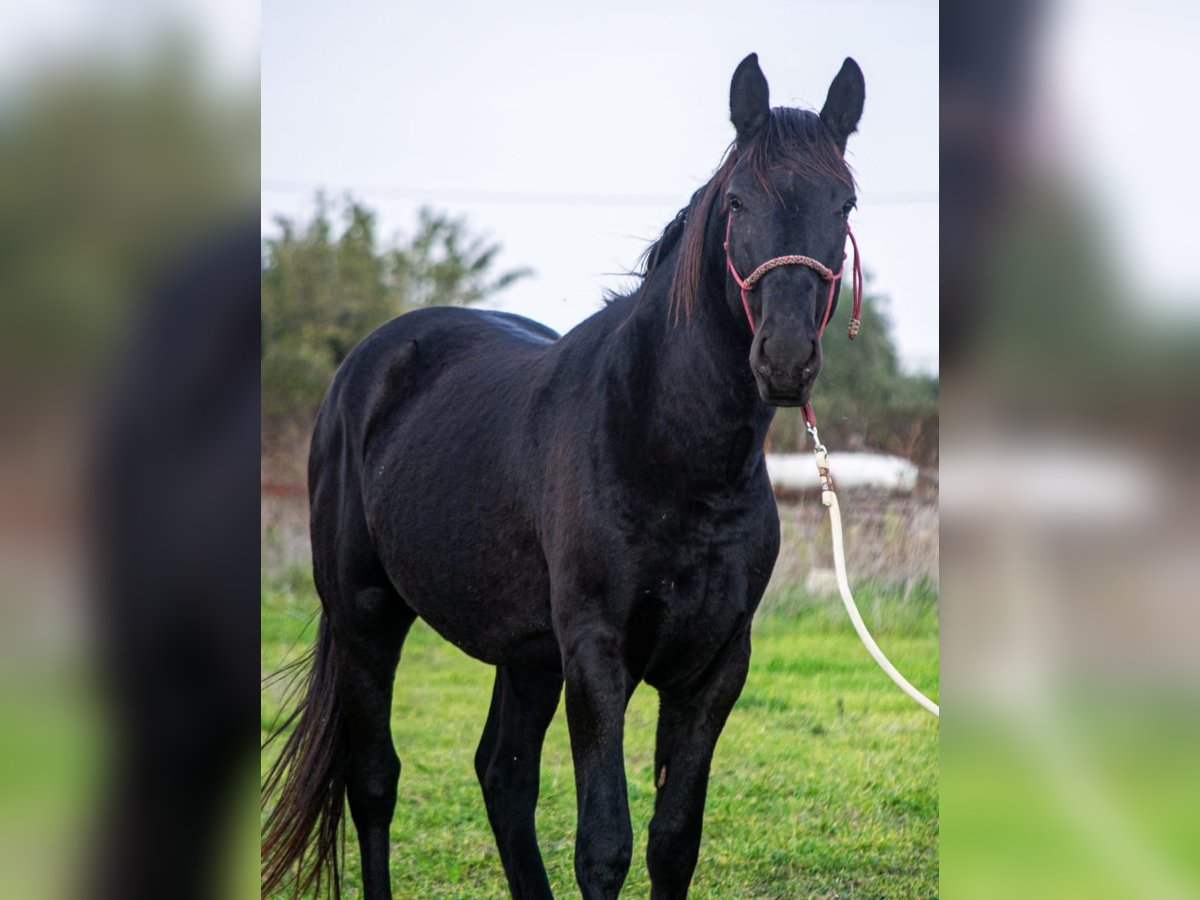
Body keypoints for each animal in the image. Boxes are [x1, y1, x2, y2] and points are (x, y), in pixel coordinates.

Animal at [262, 56, 864, 900]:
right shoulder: (595, 657)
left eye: (844, 203)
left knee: (502, 777)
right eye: (740, 199)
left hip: (524, 653)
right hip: (365, 614)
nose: (783, 358)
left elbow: (673, 842)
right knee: (374, 780)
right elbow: (604, 846)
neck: (674, 459)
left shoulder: (713, 669)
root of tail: (369, 361)